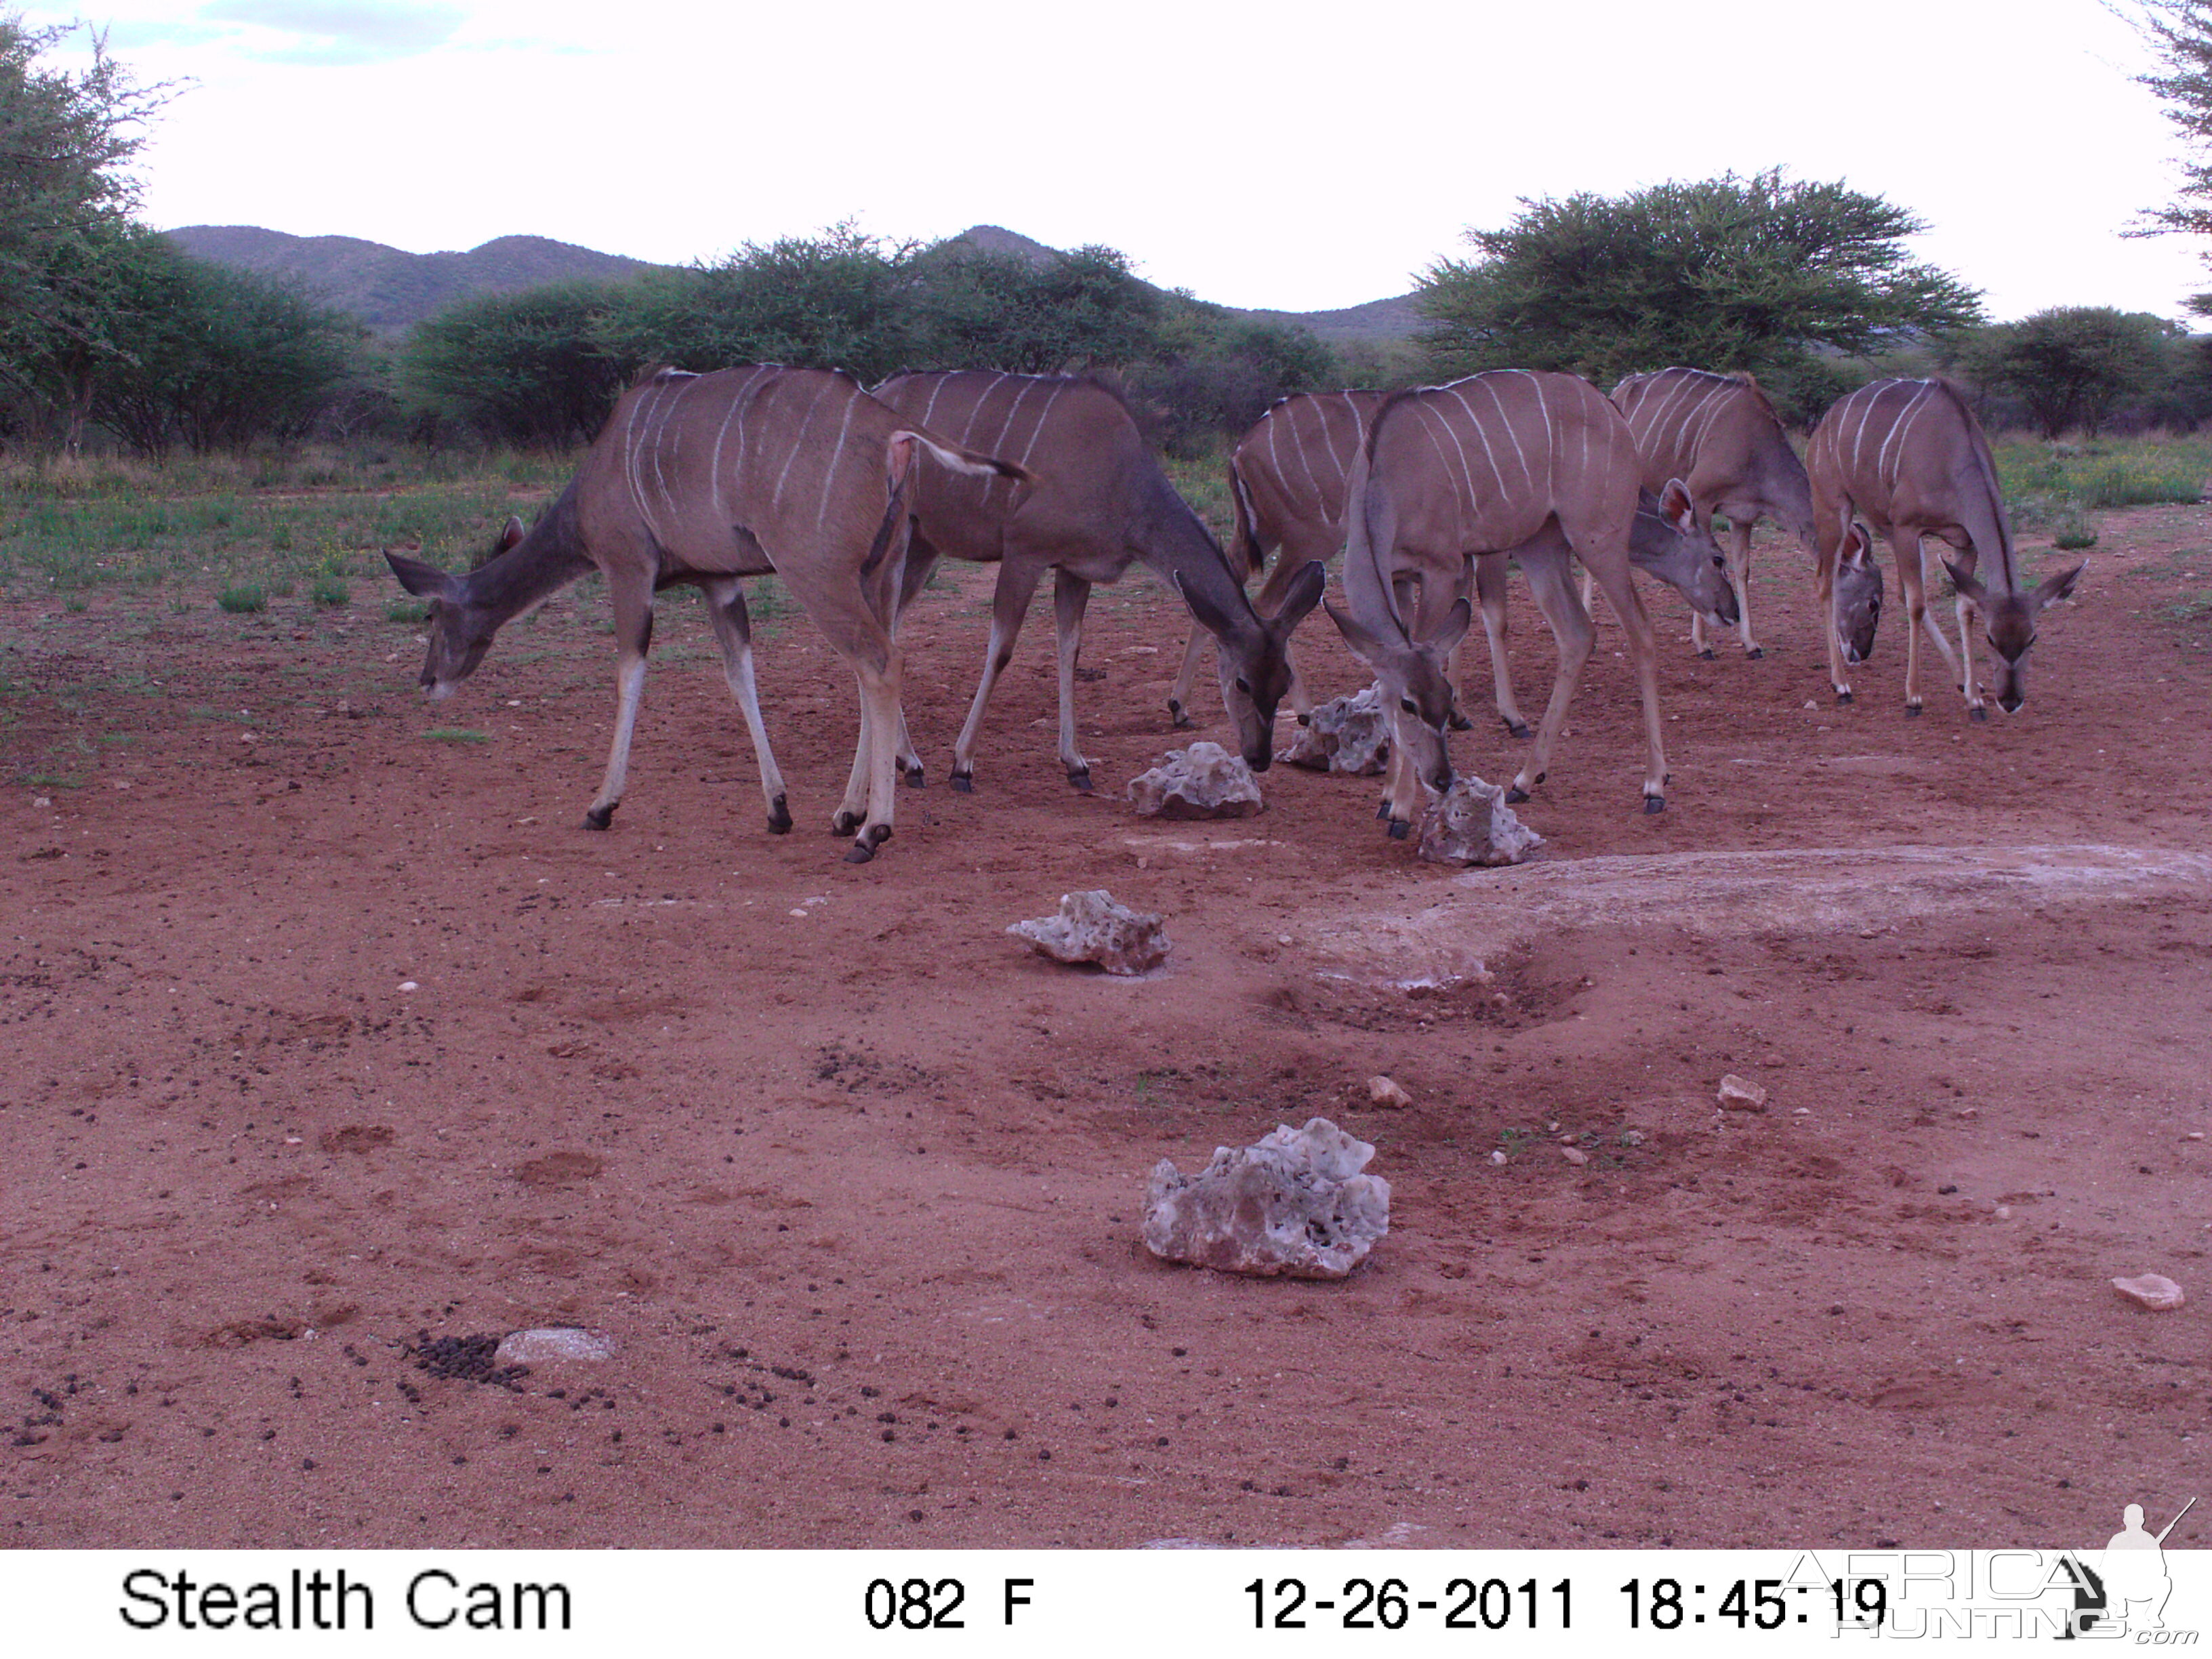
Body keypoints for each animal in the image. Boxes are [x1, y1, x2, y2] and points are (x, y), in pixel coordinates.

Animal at [387, 363, 1026, 858]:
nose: (428, 682)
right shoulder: (718, 582)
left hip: (817, 572)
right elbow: (739, 673)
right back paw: (847, 814)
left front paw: (601, 805)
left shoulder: (628, 569)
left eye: (431, 618)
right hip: (883, 571)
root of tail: (892, 428)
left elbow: (630, 675)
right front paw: (778, 809)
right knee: (876, 663)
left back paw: (873, 831)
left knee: (880, 662)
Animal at [862, 375, 1309, 792]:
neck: (1120, 479)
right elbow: (1002, 651)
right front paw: (962, 766)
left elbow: (1070, 650)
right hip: (897, 538)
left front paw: (1076, 764)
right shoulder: (1024, 553)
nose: (1259, 757)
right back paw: (908, 762)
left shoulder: (1075, 569)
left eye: (1284, 681)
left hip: (923, 544)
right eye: (1242, 682)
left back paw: (907, 762)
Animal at [1168, 393, 1371, 730]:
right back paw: (1304, 709)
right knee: (1268, 606)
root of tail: (1241, 451)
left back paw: (1179, 707)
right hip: (1311, 539)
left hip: (1263, 533)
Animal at [1318, 369, 1734, 827]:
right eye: (1408, 705)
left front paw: (1401, 808)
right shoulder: (1401, 579)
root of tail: (1614, 413)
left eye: (1443, 700)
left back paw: (1654, 785)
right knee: (1577, 634)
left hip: (1597, 540)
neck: (1385, 475)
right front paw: (1389, 796)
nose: (1443, 779)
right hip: (1542, 546)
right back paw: (1524, 779)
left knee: (1639, 629)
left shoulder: (1443, 568)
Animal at [1805, 382, 2079, 721]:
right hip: (1835, 507)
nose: (2010, 701)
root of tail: (1824, 423)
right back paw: (1842, 685)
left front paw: (1974, 699)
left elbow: (1964, 609)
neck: (1952, 454)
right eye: (1991, 639)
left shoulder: (1965, 541)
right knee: (1825, 583)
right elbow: (1917, 604)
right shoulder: (1908, 527)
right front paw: (1914, 698)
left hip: (1884, 525)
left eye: (2032, 638)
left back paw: (1963, 682)